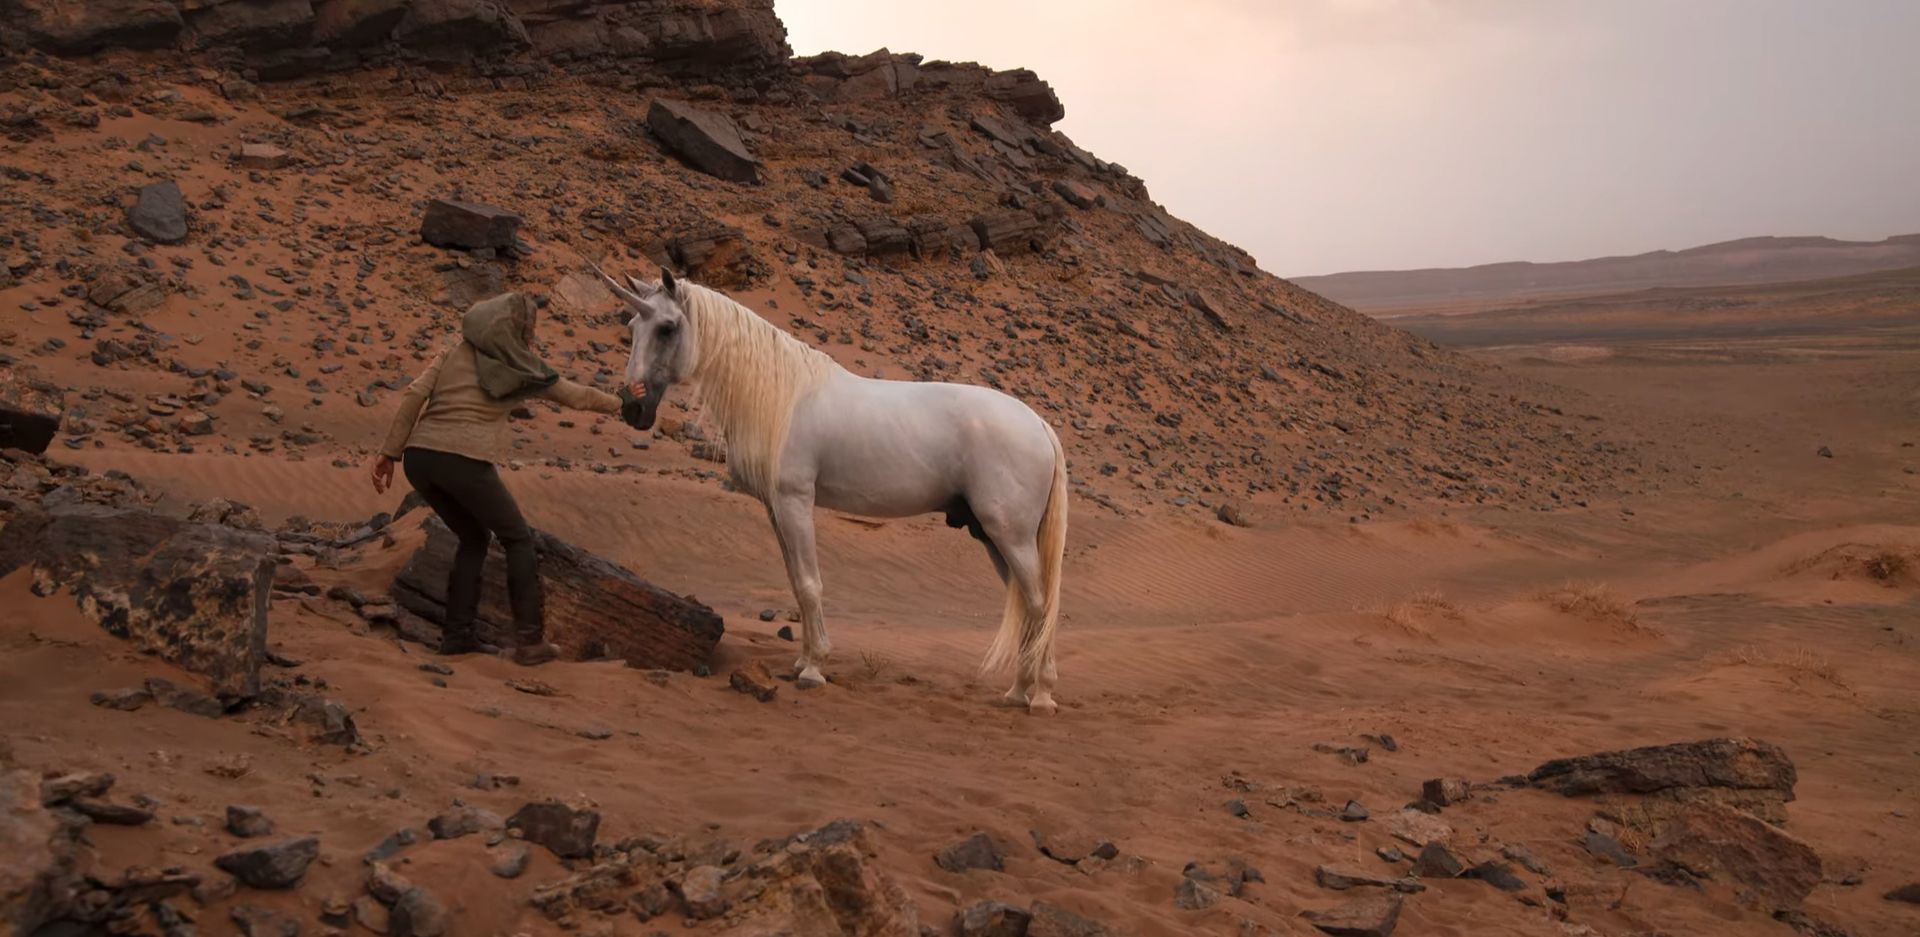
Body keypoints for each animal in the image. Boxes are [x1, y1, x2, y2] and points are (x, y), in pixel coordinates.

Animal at [591, 263, 1075, 718]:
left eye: (667, 328)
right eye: (632, 327)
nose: (632, 408)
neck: (782, 398)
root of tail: (1038, 423)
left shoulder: (795, 502)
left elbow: (809, 585)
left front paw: (813, 668)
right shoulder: (776, 509)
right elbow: (795, 583)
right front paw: (801, 660)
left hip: (1009, 535)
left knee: (1038, 603)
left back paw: (1041, 696)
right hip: (992, 536)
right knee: (1028, 604)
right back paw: (1018, 691)